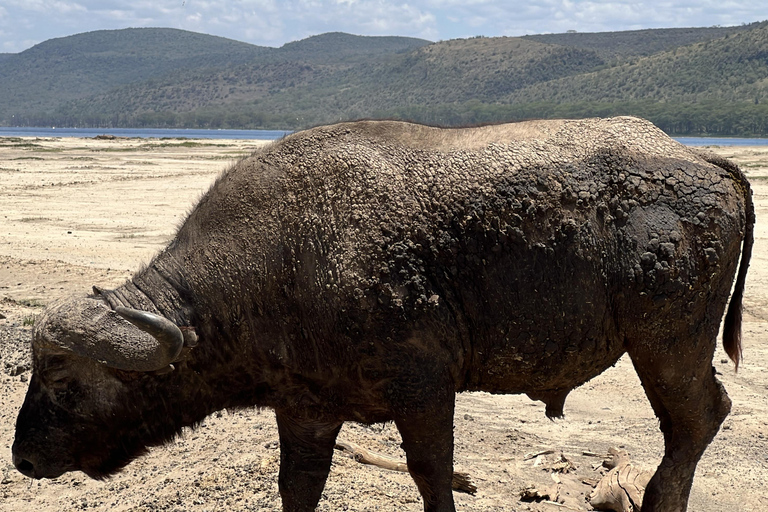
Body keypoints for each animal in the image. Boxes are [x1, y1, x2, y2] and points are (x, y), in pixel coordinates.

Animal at [13, 118, 756, 510]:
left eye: (65, 382)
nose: (22, 456)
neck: (281, 258)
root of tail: (699, 158)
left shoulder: (423, 392)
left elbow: (433, 474)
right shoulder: (306, 410)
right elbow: (299, 485)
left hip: (667, 346)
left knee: (695, 420)